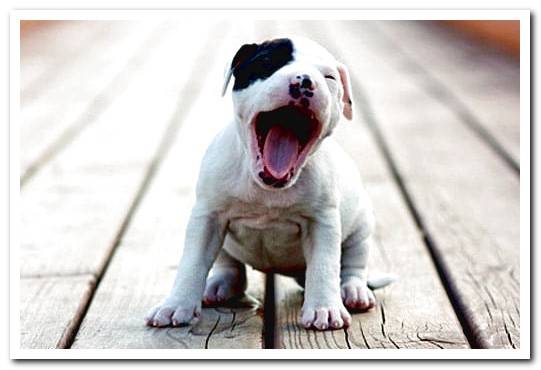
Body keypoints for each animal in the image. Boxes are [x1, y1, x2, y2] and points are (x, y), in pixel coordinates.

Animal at [146, 36, 394, 330]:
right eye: (266, 62)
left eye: (329, 77)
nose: (305, 81)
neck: (266, 188)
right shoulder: (207, 217)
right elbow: (192, 262)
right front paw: (176, 305)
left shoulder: (323, 223)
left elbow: (324, 266)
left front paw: (324, 308)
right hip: (224, 242)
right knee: (229, 266)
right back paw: (219, 285)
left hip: (361, 228)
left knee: (352, 264)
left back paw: (353, 291)